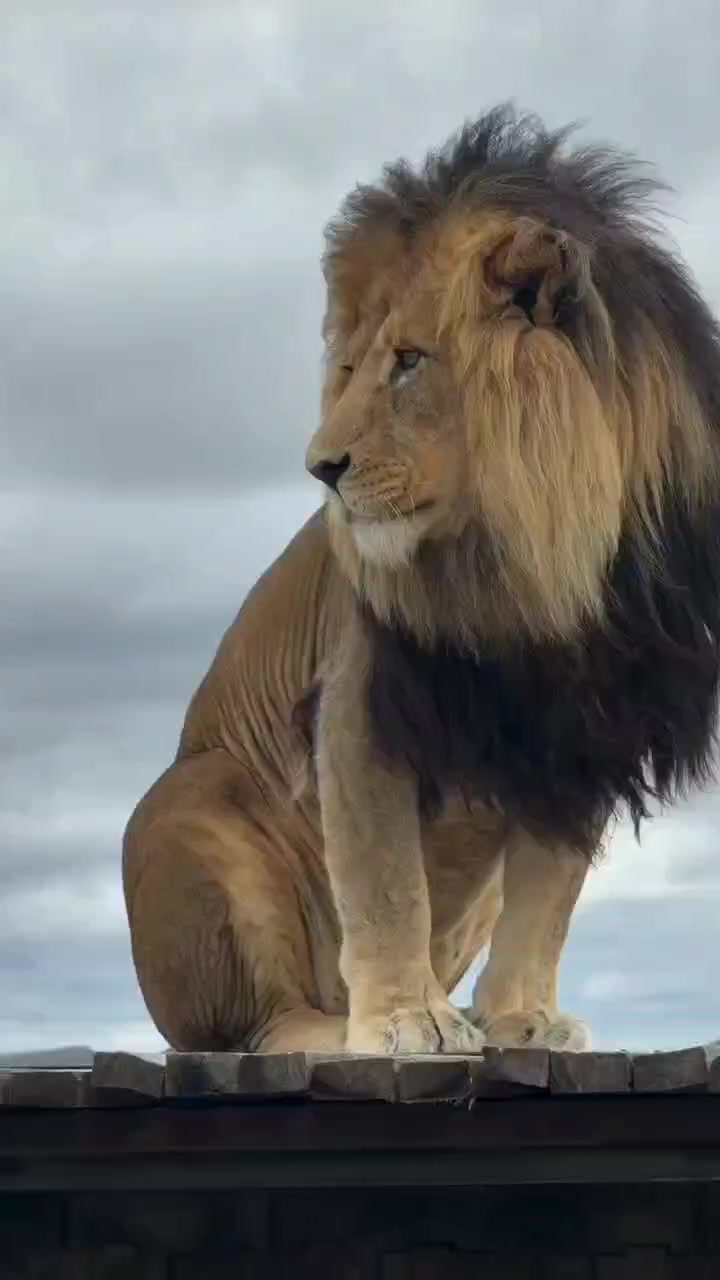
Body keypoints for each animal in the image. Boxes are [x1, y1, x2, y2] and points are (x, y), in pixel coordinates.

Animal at [123, 105, 720, 1057]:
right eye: (348, 370)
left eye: (408, 360)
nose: (321, 467)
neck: (532, 564)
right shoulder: (360, 702)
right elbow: (386, 879)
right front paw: (407, 1020)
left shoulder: (584, 730)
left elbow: (547, 899)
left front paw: (522, 1017)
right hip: (194, 798)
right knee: (251, 1026)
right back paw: (341, 1026)